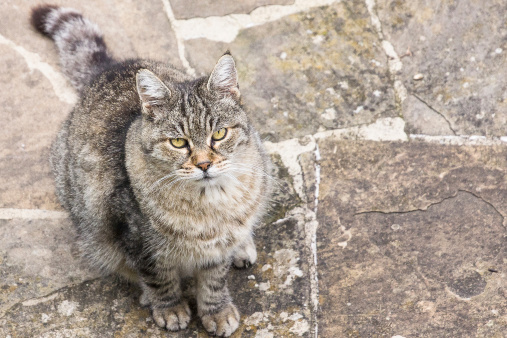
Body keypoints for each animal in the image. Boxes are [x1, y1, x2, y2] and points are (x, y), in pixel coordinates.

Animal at [30, 4, 272, 336]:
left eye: (219, 134)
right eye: (178, 142)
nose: (204, 164)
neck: (209, 205)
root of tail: (110, 68)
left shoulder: (218, 247)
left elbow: (214, 281)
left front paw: (217, 311)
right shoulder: (137, 240)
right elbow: (160, 279)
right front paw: (170, 309)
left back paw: (243, 246)